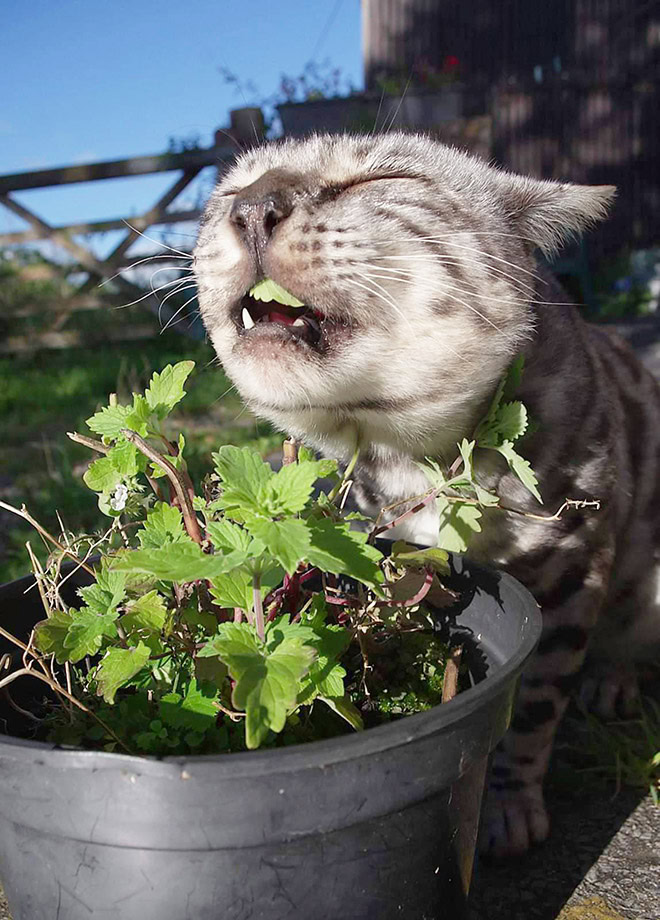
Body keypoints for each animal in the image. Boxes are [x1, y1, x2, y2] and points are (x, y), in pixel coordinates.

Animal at [192, 133, 660, 860]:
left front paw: (509, 805)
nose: (253, 206)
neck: (411, 462)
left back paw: (616, 677)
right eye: (227, 193)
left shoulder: (575, 564)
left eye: (383, 177)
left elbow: (534, 704)